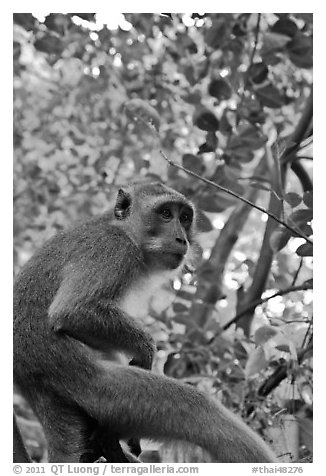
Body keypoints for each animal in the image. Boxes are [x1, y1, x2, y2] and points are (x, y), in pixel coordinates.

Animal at [14, 181, 276, 462]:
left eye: (185, 218)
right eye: (165, 214)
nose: (182, 238)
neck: (123, 229)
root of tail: (35, 387)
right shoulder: (114, 248)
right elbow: (73, 311)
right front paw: (146, 349)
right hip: (100, 389)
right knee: (198, 407)